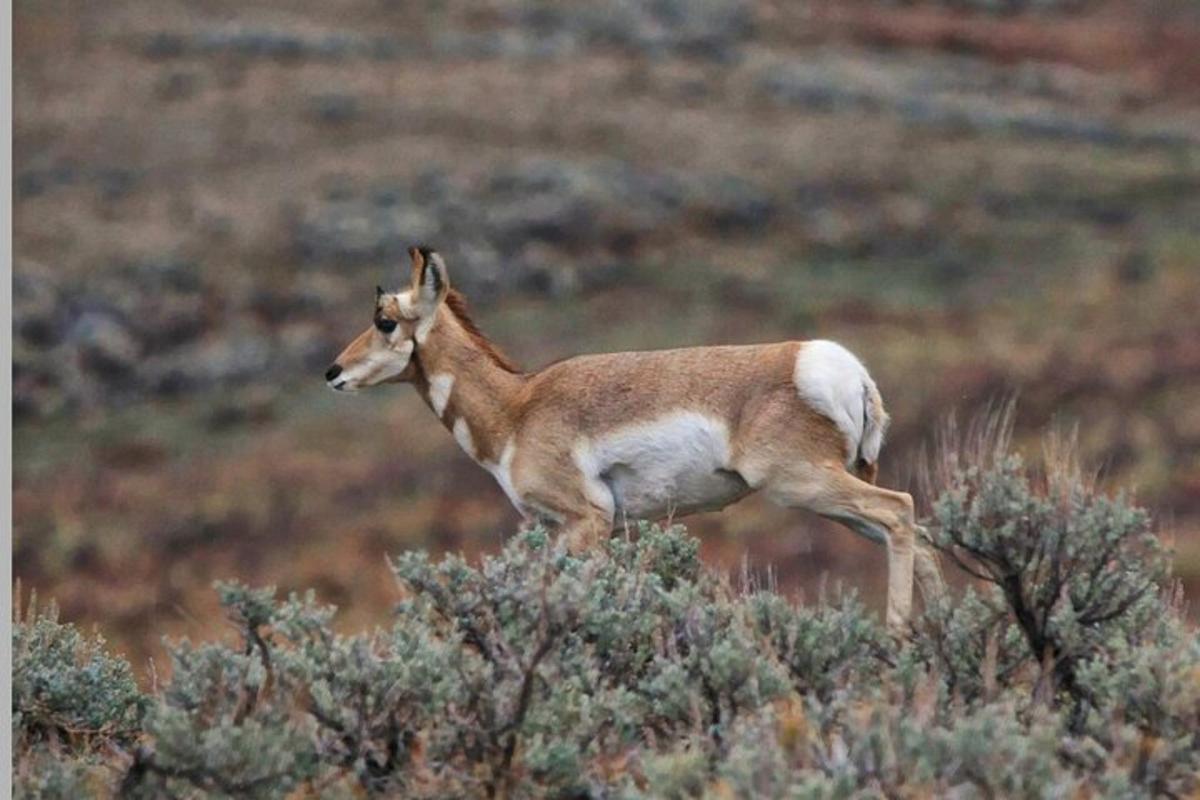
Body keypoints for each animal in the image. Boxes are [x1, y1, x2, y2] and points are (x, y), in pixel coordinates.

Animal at [326, 247, 944, 632]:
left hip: (806, 485)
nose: (331, 372)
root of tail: (842, 368)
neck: (518, 406)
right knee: (918, 537)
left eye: (385, 321)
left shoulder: (587, 521)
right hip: (833, 499)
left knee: (900, 510)